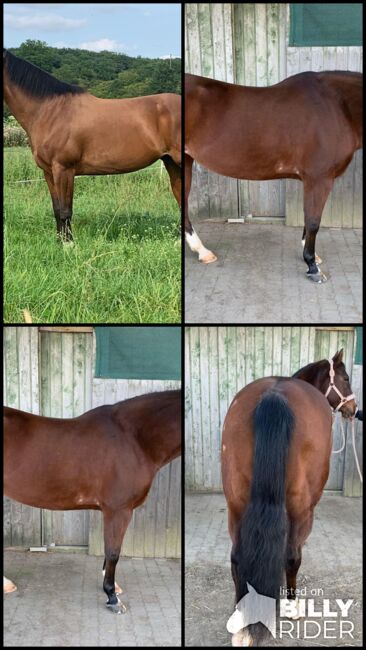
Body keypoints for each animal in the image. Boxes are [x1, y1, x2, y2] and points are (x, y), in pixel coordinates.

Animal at [2, 48, 180, 240]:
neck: (50, 111)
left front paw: (69, 244)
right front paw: (60, 242)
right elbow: (57, 209)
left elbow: (65, 210)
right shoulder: (48, 172)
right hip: (171, 163)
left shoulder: (64, 169)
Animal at [2, 390, 180, 612]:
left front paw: (113, 587)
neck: (134, 439)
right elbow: (113, 552)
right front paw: (112, 597)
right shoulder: (118, 510)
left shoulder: (113, 511)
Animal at [186, 72, 364, 282]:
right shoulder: (319, 179)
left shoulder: (312, 180)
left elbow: (308, 218)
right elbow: (313, 221)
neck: (337, 106)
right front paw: (312, 266)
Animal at [222, 350, 356, 644]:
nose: (353, 409)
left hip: (235, 505)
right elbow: (292, 557)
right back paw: (292, 607)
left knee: (236, 557)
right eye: (345, 378)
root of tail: (274, 396)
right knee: (292, 556)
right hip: (301, 509)